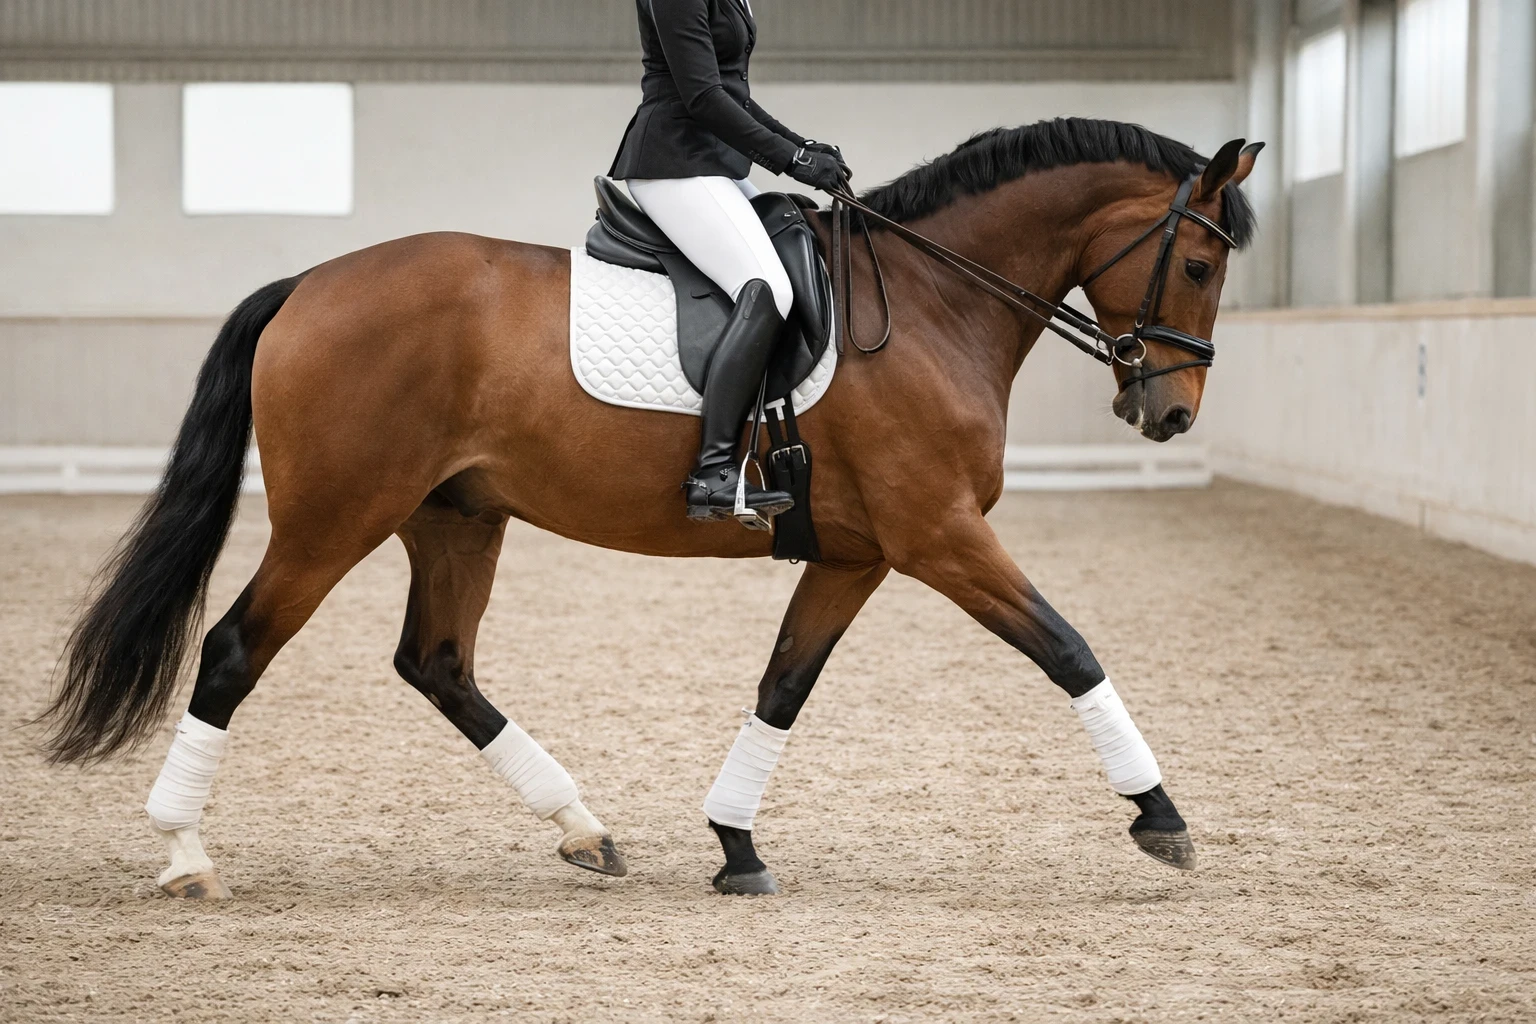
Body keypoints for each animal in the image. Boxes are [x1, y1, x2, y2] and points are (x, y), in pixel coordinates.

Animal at [42, 117, 1260, 898]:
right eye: (1201, 265)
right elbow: (1069, 648)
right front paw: (1162, 819)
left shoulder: (859, 554)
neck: (929, 302)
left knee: (438, 662)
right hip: (334, 518)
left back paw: (585, 831)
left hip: (456, 516)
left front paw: (735, 846)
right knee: (237, 649)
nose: (1171, 414)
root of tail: (308, 284)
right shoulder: (941, 535)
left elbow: (782, 687)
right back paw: (186, 855)